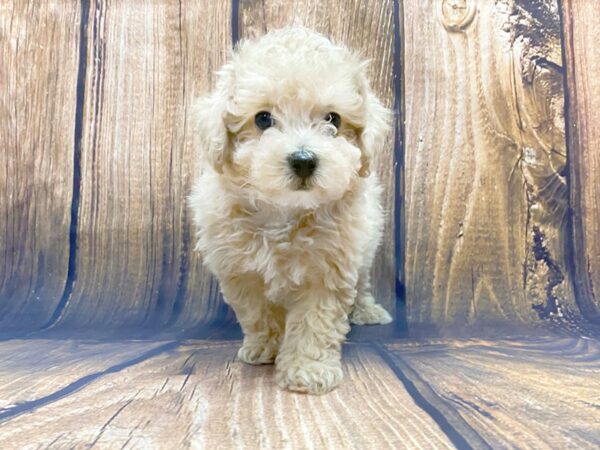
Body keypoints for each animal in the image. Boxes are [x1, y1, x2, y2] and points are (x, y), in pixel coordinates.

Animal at [190, 27, 392, 394]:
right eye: (262, 119)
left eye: (332, 119)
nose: (303, 160)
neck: (285, 212)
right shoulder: (240, 269)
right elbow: (257, 312)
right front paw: (264, 347)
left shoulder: (330, 267)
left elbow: (315, 321)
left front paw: (308, 370)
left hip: (367, 246)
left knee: (363, 282)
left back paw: (368, 310)